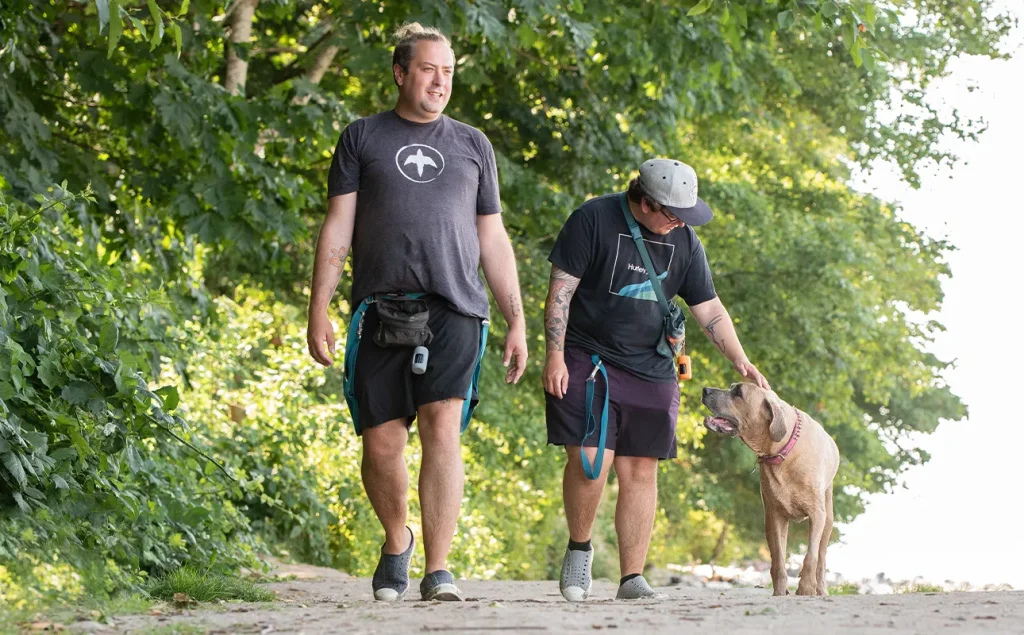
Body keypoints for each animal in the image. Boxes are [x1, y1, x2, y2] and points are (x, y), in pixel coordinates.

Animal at [704, 381, 839, 594]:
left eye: (738, 392)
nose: (705, 390)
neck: (782, 451)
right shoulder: (774, 516)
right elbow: (778, 560)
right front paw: (780, 592)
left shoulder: (817, 515)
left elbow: (811, 556)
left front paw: (806, 588)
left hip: (828, 518)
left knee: (821, 556)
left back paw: (821, 589)